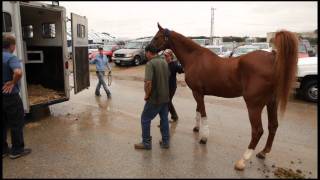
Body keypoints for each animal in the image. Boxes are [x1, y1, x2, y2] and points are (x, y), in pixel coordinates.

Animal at [149, 22, 298, 170]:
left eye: (157, 37)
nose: (147, 49)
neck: (194, 57)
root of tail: (273, 57)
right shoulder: (198, 93)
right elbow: (198, 112)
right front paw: (197, 129)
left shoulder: (197, 93)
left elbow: (203, 114)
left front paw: (204, 137)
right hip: (271, 103)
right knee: (273, 126)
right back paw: (263, 152)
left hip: (254, 105)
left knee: (257, 131)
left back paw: (242, 161)